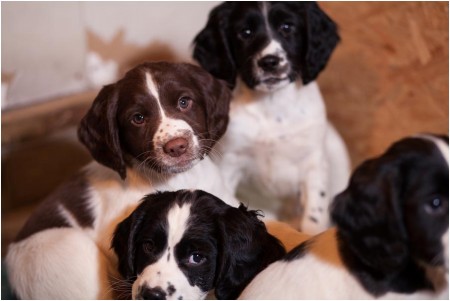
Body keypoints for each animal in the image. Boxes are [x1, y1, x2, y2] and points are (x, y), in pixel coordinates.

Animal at [193, 1, 352, 233]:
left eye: (287, 27)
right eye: (245, 32)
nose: (269, 62)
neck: (272, 105)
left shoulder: (313, 163)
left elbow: (315, 212)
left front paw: (312, 231)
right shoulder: (229, 162)